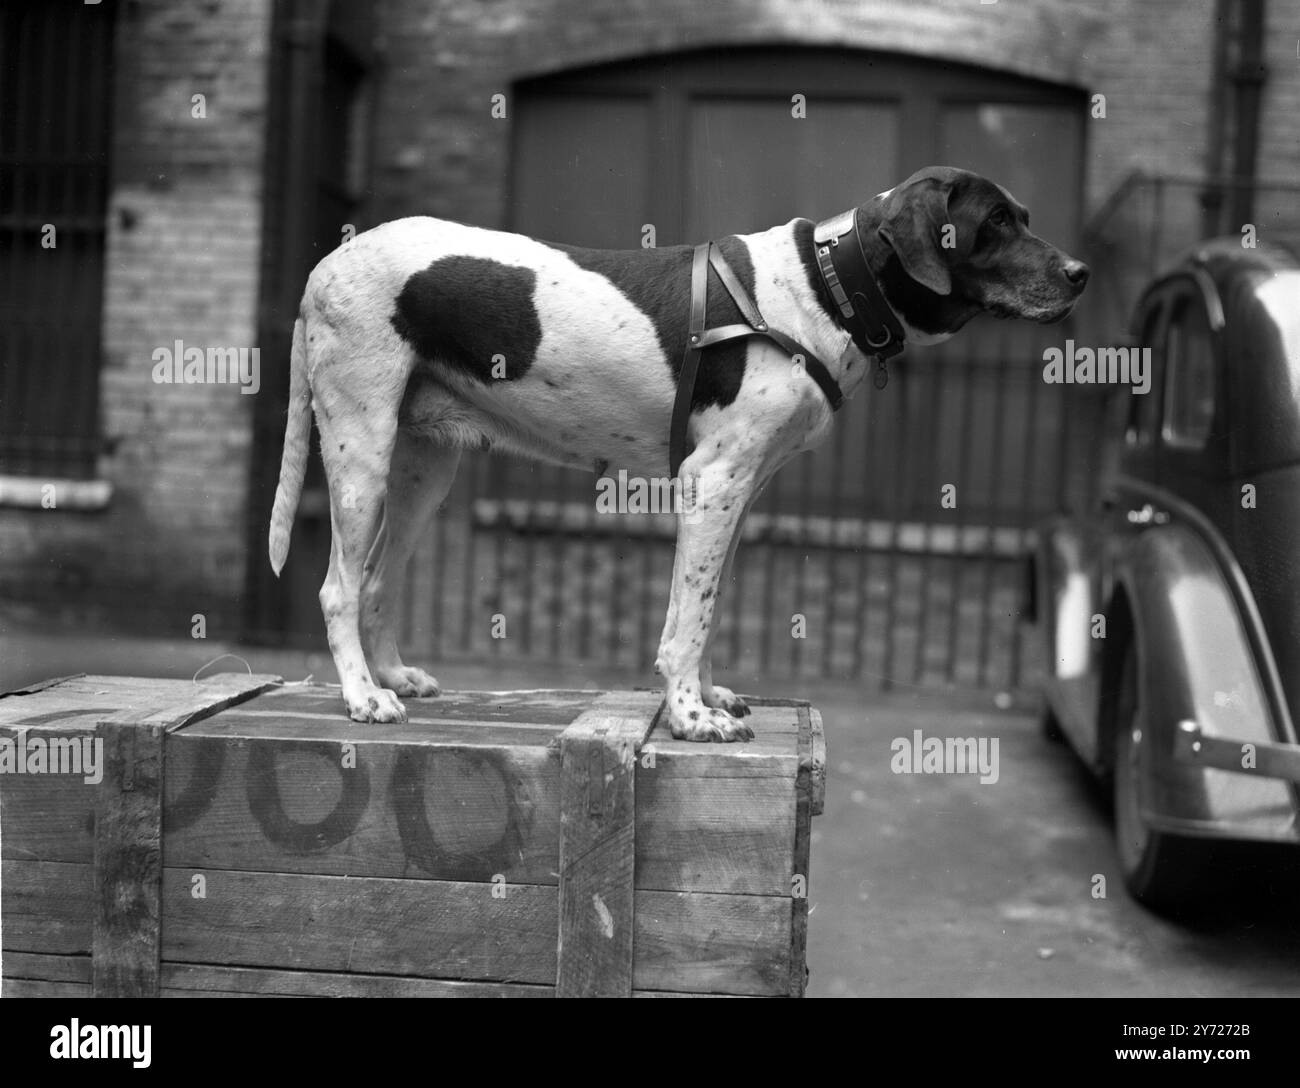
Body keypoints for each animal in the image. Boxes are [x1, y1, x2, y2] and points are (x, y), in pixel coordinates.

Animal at [266, 163, 1086, 738]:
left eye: (1022, 218)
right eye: (996, 222)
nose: (1081, 274)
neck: (823, 288)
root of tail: (321, 270)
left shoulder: (738, 495)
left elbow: (709, 607)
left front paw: (709, 696)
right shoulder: (712, 483)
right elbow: (687, 618)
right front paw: (690, 717)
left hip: (422, 473)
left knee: (375, 582)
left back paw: (392, 677)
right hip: (361, 456)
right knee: (338, 588)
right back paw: (363, 697)